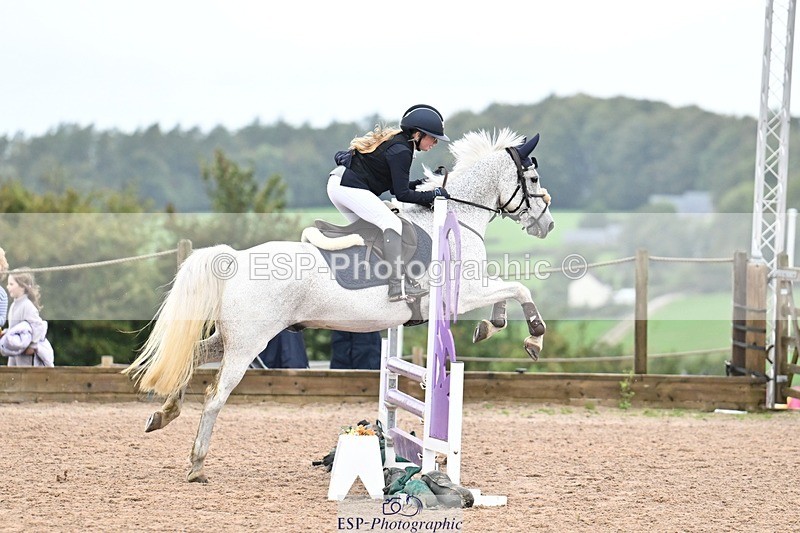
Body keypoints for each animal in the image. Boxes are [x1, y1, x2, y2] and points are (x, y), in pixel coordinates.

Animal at [124, 127, 555, 483]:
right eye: (532, 179)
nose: (547, 225)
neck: (458, 217)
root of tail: (236, 259)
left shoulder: (471, 290)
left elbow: (506, 291)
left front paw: (491, 326)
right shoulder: (462, 293)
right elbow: (517, 289)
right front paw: (533, 337)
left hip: (230, 337)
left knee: (192, 357)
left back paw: (163, 415)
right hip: (249, 343)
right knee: (215, 396)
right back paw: (196, 464)